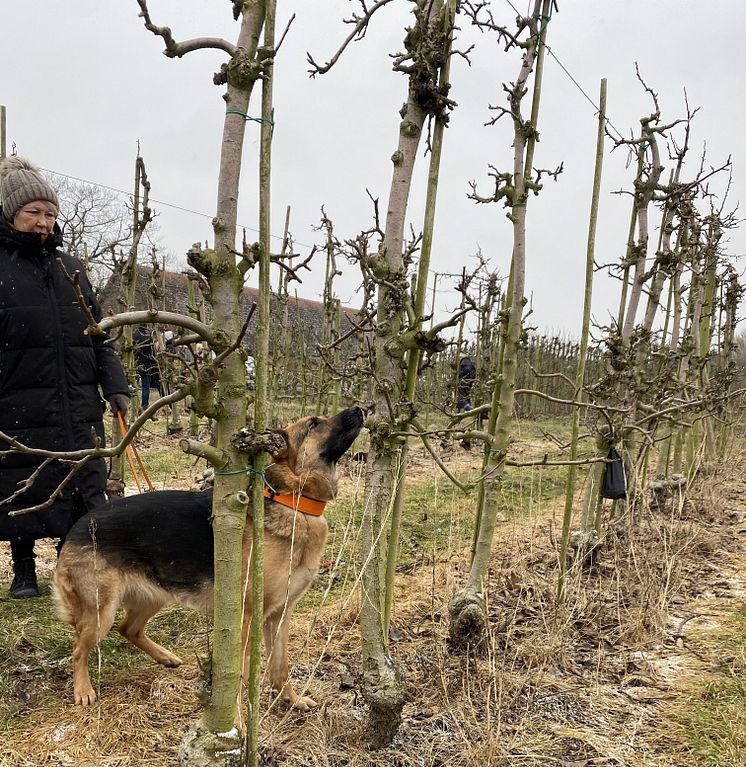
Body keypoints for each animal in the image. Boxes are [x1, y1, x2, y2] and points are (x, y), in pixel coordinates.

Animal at [50, 404, 362, 712]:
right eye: (314, 424)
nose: (359, 409)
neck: (293, 501)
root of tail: (75, 528)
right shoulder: (246, 618)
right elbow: (239, 675)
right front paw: (237, 719)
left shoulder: (280, 615)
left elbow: (280, 665)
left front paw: (291, 699)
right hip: (101, 612)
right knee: (79, 649)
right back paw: (83, 690)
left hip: (155, 595)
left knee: (128, 629)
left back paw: (165, 657)